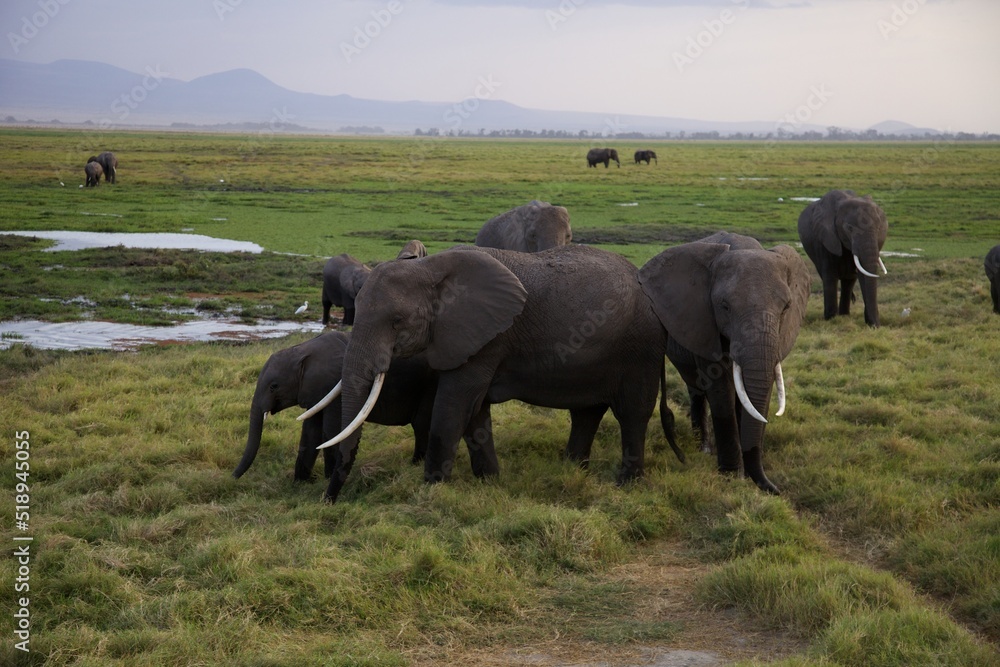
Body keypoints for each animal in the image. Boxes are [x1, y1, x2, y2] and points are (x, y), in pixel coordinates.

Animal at [234, 332, 442, 482]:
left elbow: (330, 430)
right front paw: (302, 483)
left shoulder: (334, 385)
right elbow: (311, 431)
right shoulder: (315, 392)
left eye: (274, 386)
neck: (302, 350)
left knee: (421, 425)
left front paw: (326, 479)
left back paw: (414, 465)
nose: (233, 477)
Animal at [316, 248, 684, 504]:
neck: (431, 268)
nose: (328, 501)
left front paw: (431, 490)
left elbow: (454, 407)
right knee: (587, 412)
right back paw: (571, 471)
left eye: (396, 322)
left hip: (640, 347)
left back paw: (626, 485)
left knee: (633, 413)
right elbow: (474, 411)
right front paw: (490, 483)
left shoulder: (487, 339)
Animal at [640, 232, 812, 494]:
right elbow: (721, 391)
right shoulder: (703, 319)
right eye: (725, 307)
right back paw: (704, 448)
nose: (777, 489)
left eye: (786, 308)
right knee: (696, 388)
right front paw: (732, 476)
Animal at [796, 189, 892, 328]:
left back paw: (845, 315)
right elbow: (830, 275)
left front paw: (871, 324)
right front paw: (831, 319)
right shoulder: (826, 239)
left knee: (849, 281)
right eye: (849, 228)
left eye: (879, 228)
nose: (876, 326)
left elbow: (862, 274)